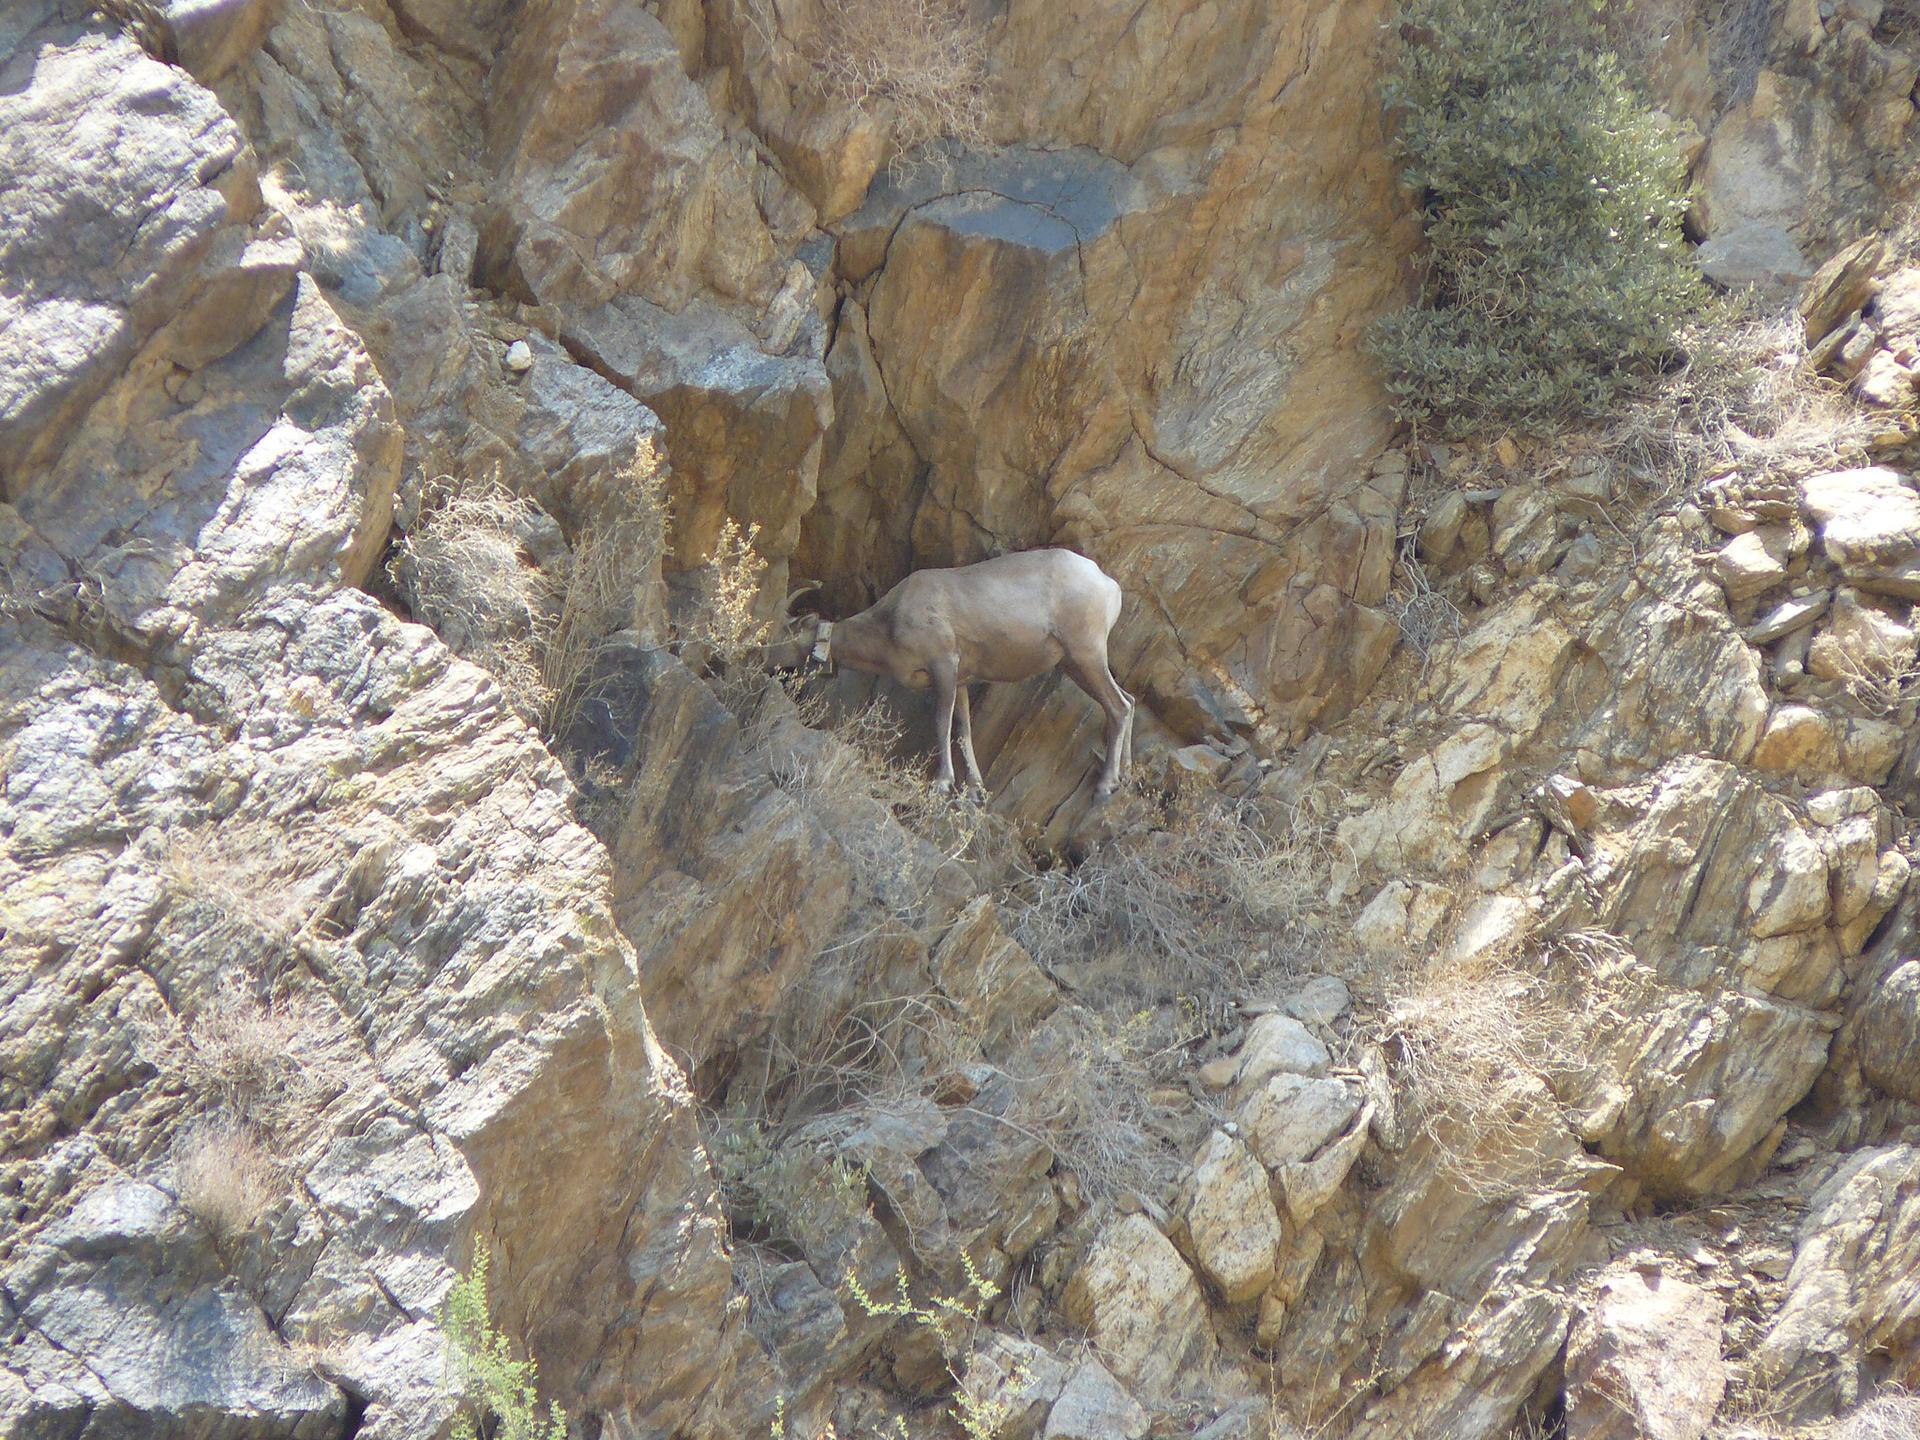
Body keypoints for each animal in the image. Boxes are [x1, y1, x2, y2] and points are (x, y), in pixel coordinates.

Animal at [778, 549, 1135, 799]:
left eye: (787, 638)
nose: (777, 672)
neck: (890, 623)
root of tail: (1109, 585)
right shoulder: (961, 681)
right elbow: (964, 730)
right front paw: (976, 791)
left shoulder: (944, 666)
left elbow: (942, 723)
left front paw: (942, 784)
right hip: (1074, 665)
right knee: (1128, 701)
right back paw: (1126, 775)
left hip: (1086, 655)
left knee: (1118, 706)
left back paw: (1106, 786)